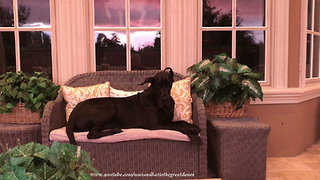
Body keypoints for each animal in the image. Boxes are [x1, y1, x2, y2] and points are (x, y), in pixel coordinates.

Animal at [66, 67, 201, 145]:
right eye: (158, 85)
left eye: (168, 84)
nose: (165, 98)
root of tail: (73, 112)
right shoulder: (157, 124)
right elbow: (178, 126)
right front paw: (194, 135)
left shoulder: (168, 120)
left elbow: (182, 122)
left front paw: (193, 127)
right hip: (109, 108)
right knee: (91, 134)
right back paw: (115, 130)